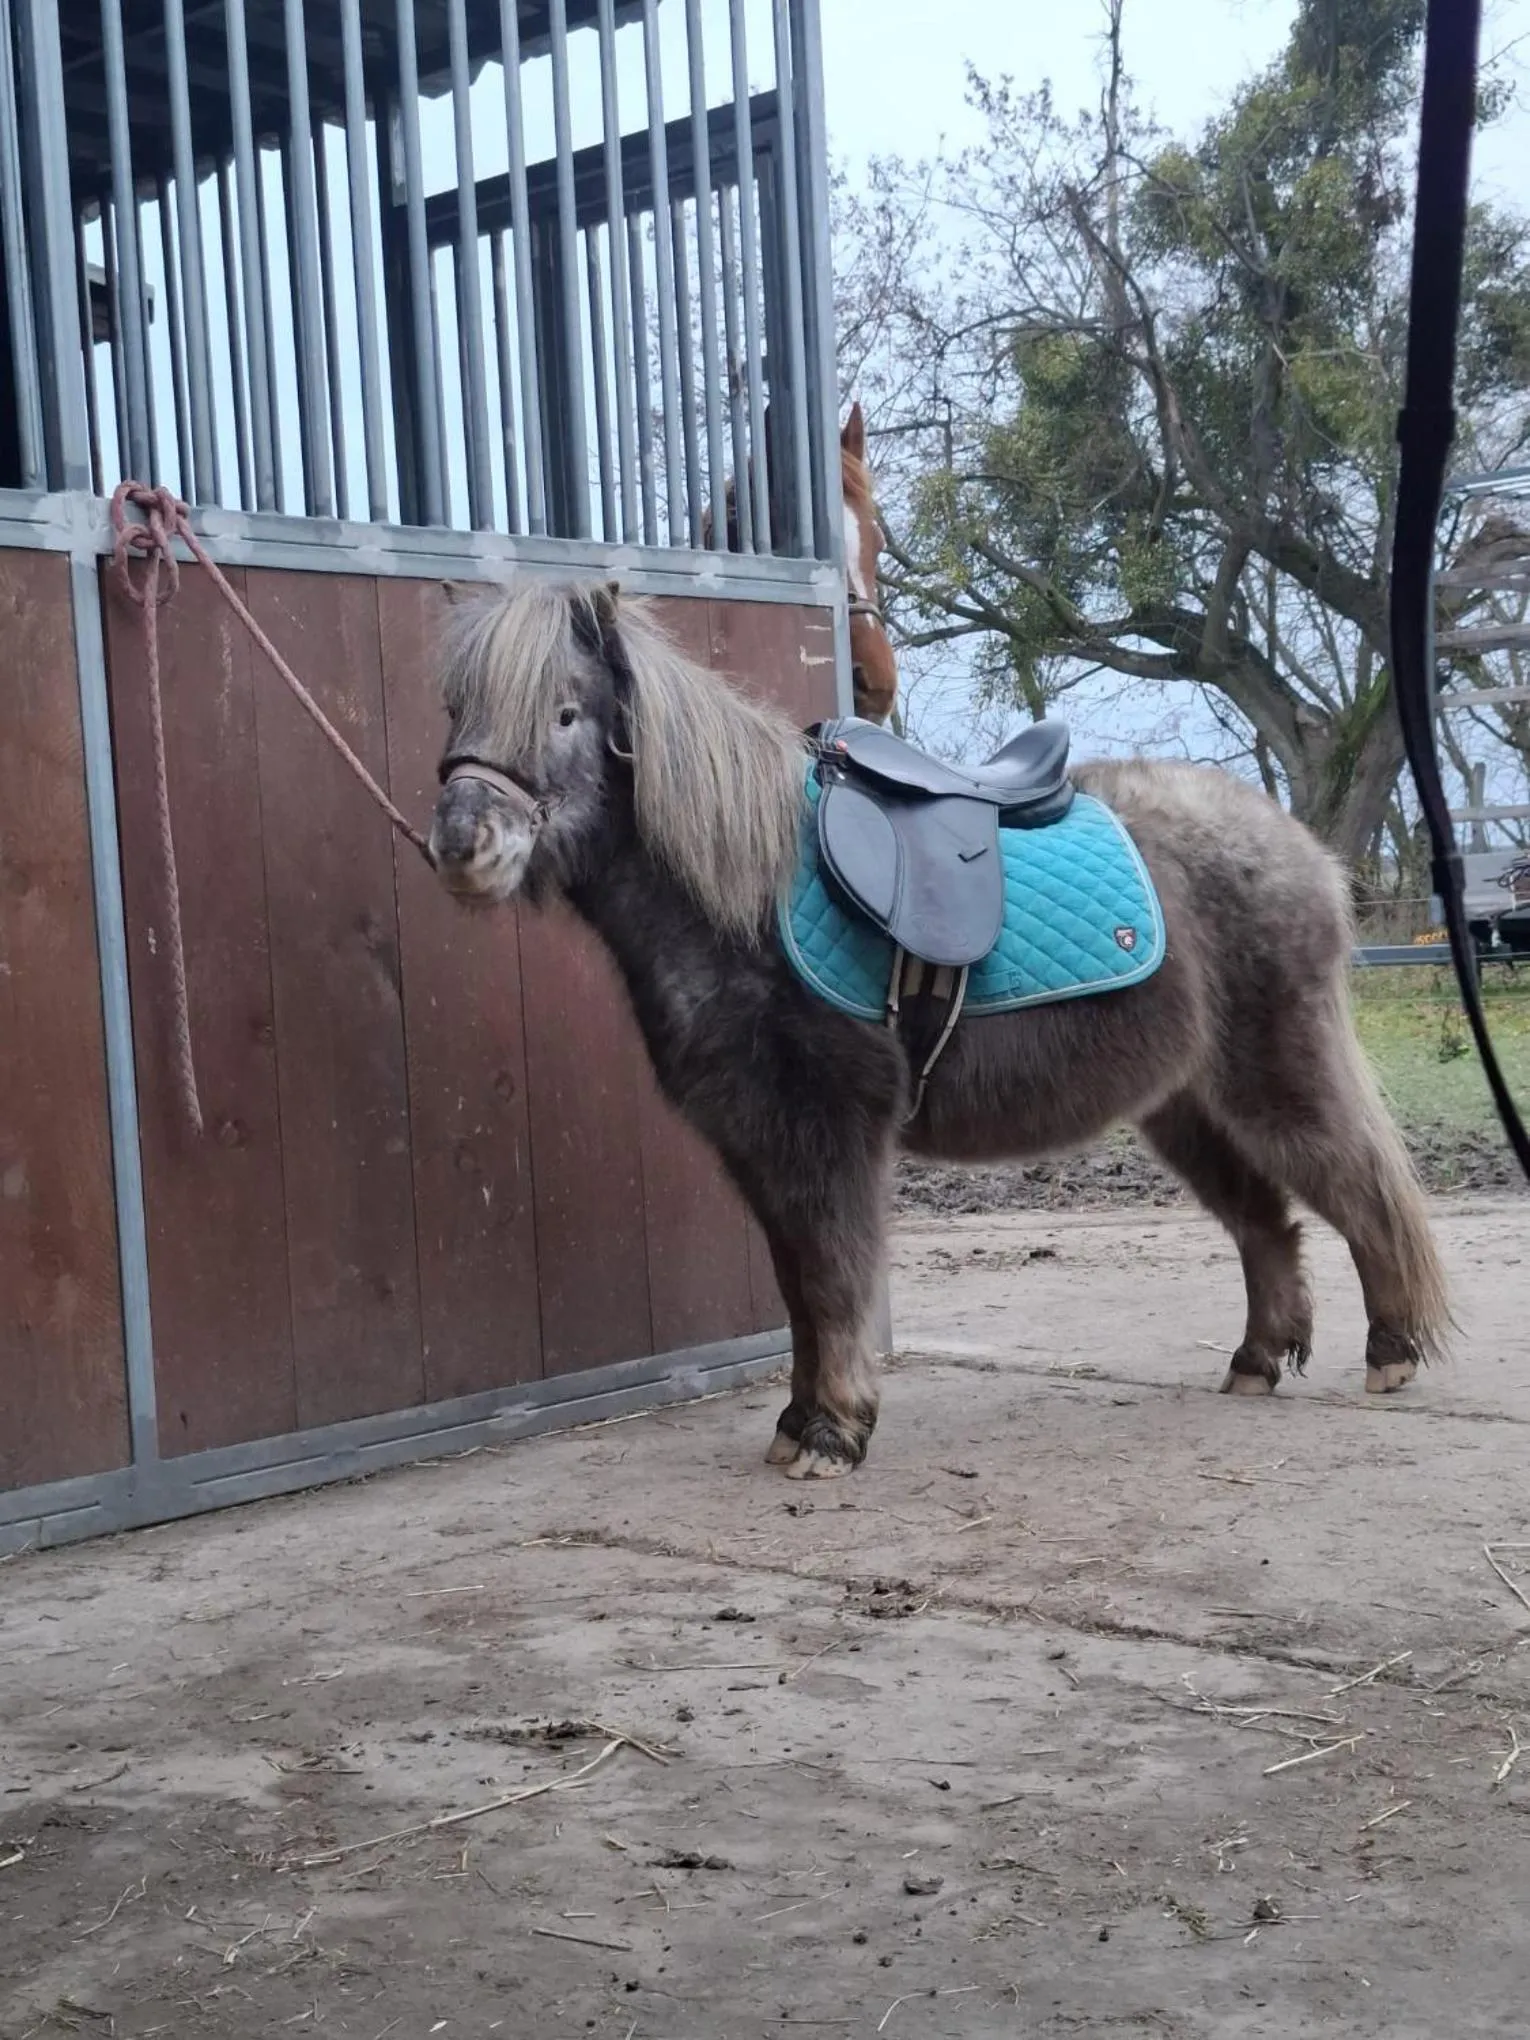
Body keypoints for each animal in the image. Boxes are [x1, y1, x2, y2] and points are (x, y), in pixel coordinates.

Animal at [428, 578, 1448, 1480]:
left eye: (565, 713)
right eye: (455, 709)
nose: (462, 844)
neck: (749, 895)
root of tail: (1299, 849)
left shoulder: (828, 1135)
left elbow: (833, 1278)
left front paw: (836, 1433)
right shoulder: (760, 1144)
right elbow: (800, 1287)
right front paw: (798, 1422)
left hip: (1274, 1075)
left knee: (1363, 1188)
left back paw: (1392, 1350)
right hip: (1183, 1106)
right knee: (1264, 1222)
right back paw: (1257, 1360)